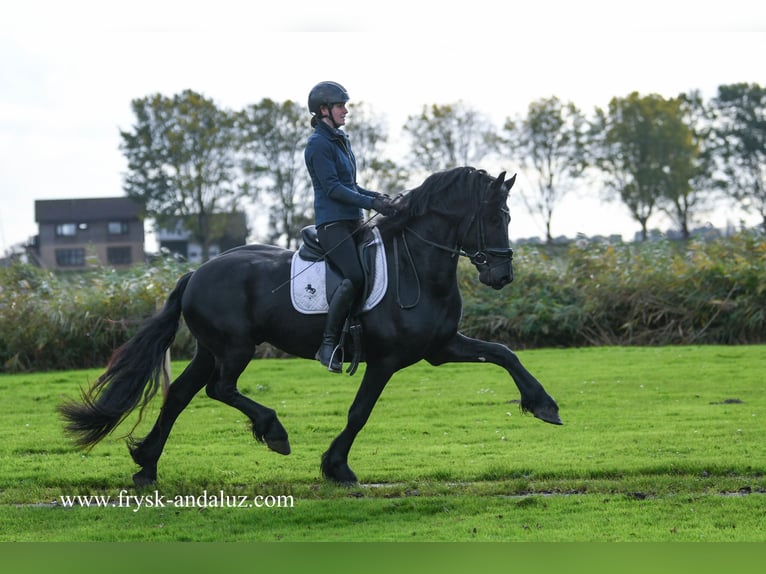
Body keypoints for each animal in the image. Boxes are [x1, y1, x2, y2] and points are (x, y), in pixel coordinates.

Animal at [60, 166, 560, 486]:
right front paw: (337, 467)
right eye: (494, 216)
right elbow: (359, 412)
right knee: (219, 389)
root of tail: (195, 272)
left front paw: (544, 405)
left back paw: (146, 466)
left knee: (180, 394)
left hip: (210, 349)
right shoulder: (387, 360)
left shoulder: (441, 347)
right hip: (235, 348)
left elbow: (503, 354)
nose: (502, 276)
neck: (415, 262)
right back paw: (273, 432)